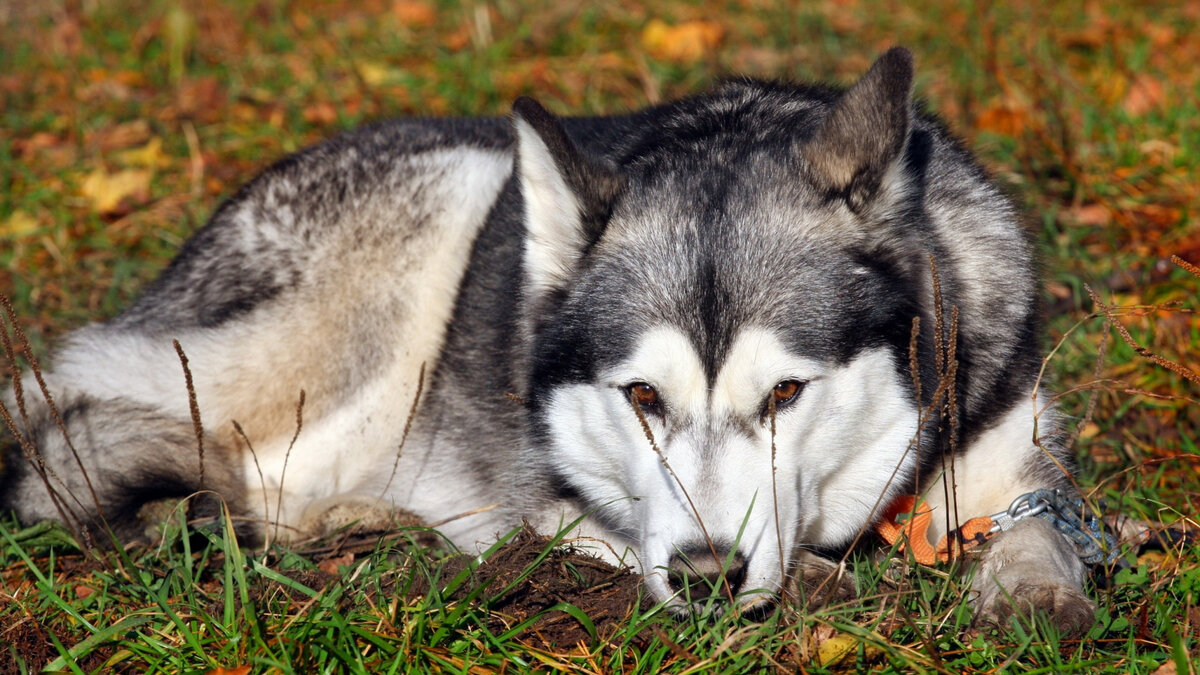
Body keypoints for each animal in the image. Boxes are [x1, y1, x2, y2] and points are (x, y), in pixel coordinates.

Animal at [0, 48, 1094, 629]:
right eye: (642, 398)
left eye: (786, 393)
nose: (708, 577)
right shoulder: (552, 491)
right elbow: (584, 527)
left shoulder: (1012, 447)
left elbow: (1042, 525)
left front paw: (1036, 597)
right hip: (432, 212)